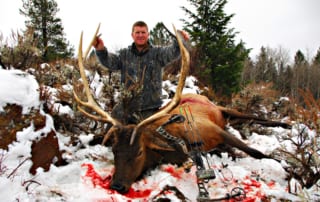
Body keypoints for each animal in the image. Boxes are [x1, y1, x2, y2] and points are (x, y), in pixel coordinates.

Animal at [74, 24, 288, 193]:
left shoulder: (215, 130)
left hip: (221, 108)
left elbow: (257, 153)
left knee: (256, 117)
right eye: (114, 150)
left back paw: (285, 124)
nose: (117, 185)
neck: (180, 141)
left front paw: (279, 163)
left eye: (139, 152)